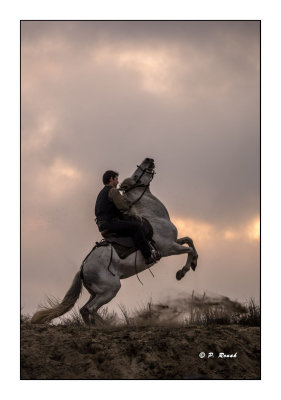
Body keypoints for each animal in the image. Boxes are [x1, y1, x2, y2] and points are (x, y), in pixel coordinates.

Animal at [31, 158, 197, 324]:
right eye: (136, 175)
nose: (148, 160)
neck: (155, 217)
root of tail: (82, 269)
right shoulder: (168, 248)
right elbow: (189, 249)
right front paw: (182, 272)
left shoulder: (174, 242)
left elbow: (189, 240)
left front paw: (194, 263)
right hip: (111, 289)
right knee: (90, 309)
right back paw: (107, 325)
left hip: (96, 292)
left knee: (84, 309)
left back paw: (94, 326)